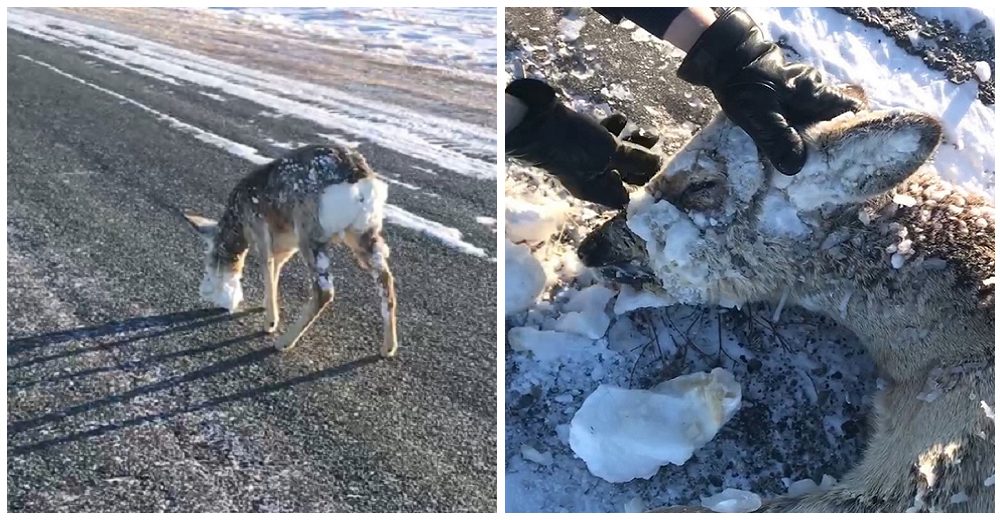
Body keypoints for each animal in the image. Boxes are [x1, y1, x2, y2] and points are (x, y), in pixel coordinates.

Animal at [180, 144, 398, 360]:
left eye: (209, 262)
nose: (205, 292)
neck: (237, 221)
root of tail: (360, 179)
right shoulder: (286, 243)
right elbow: (276, 268)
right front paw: (267, 306)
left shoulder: (258, 226)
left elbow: (267, 266)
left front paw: (270, 322)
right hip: (364, 234)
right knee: (385, 278)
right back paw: (388, 348)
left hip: (311, 232)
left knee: (324, 290)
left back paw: (283, 342)